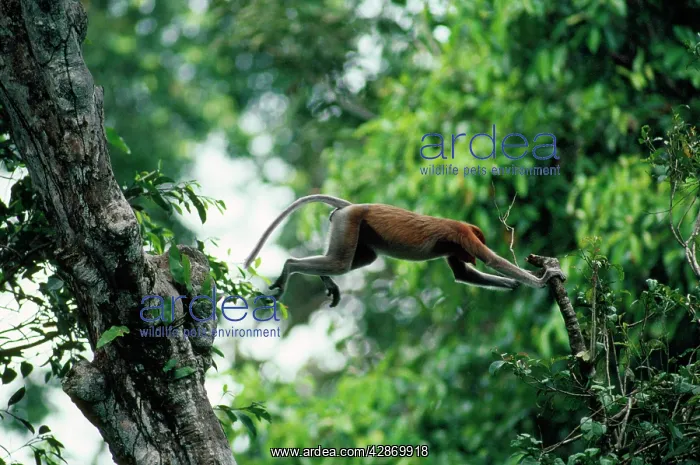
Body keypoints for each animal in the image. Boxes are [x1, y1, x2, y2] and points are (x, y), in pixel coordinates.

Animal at [243, 195, 566, 307]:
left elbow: (462, 275)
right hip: (350, 222)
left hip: (351, 227)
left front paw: (512, 283)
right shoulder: (464, 237)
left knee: (353, 260)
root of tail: (352, 206)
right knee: (339, 262)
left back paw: (325, 280)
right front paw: (544, 277)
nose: (469, 258)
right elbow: (492, 259)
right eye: (471, 252)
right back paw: (289, 267)